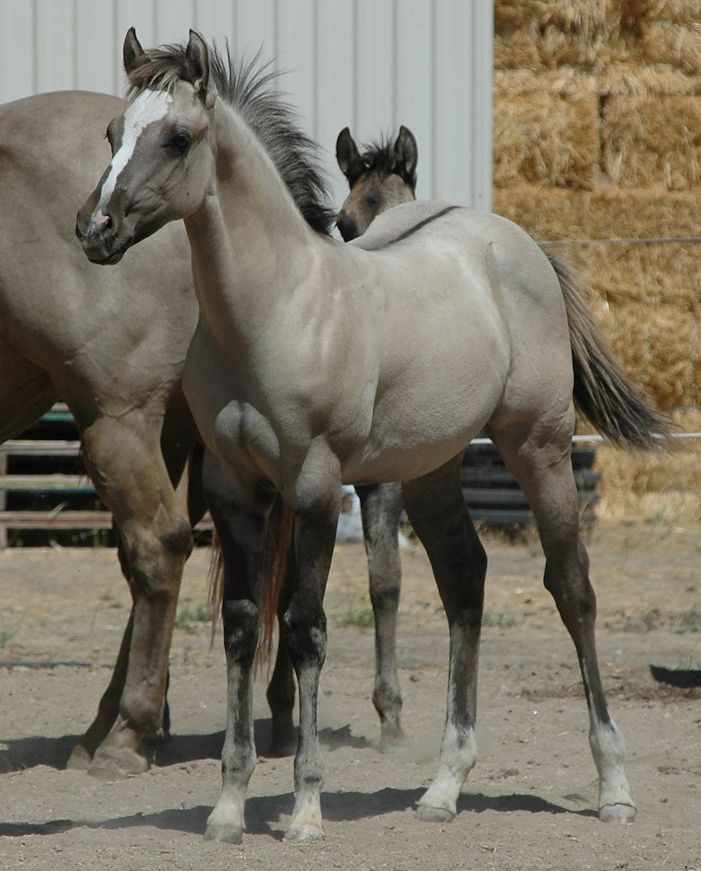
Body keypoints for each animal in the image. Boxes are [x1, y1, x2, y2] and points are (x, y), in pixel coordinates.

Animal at [78, 30, 668, 840]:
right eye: (112, 133)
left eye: (177, 137)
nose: (94, 230)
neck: (279, 308)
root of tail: (516, 243)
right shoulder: (233, 489)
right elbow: (241, 627)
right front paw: (229, 806)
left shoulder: (317, 485)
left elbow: (305, 628)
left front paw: (304, 809)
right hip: (431, 468)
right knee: (464, 580)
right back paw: (444, 786)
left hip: (539, 446)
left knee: (571, 587)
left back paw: (613, 785)